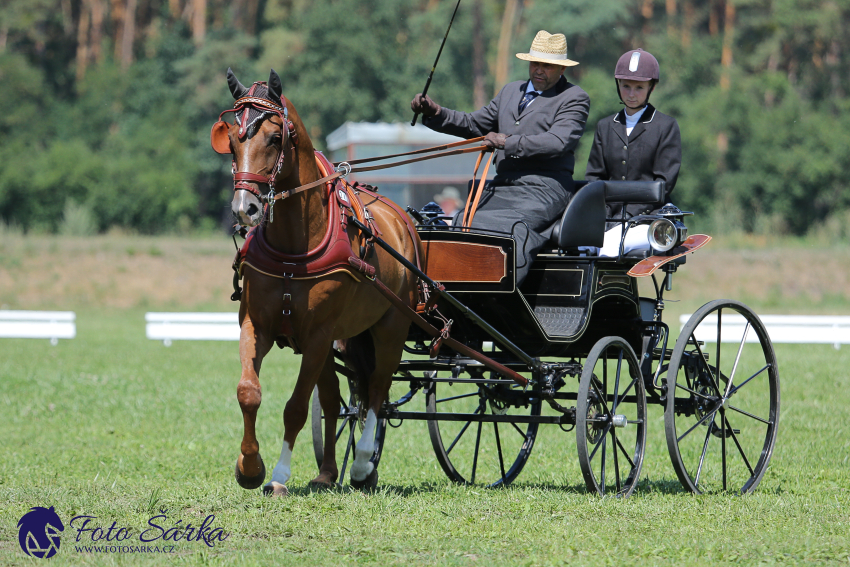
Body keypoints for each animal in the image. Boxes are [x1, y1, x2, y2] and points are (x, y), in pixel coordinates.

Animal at [212, 69, 420, 496]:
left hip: (390, 327)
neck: (295, 249)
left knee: (378, 390)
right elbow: (249, 393)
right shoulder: (257, 324)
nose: (245, 208)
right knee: (334, 399)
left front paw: (277, 476)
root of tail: (403, 219)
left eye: (275, 137)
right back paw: (327, 473)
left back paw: (362, 465)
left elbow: (294, 407)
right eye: (233, 139)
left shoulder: (320, 334)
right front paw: (249, 467)